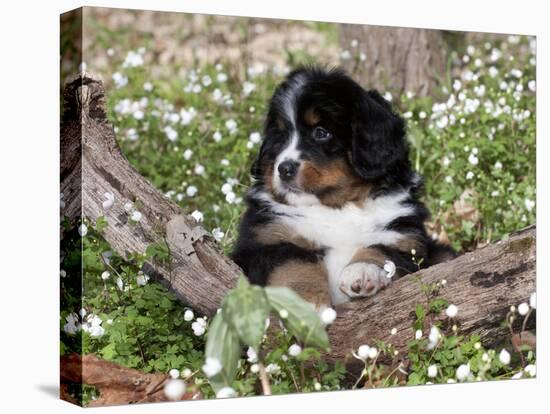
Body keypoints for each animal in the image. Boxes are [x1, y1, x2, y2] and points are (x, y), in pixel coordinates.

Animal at [231, 67, 454, 308]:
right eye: (280, 137)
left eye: (321, 133)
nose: (284, 169)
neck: (337, 206)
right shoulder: (266, 240)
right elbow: (295, 265)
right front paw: (307, 304)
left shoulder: (404, 238)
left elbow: (380, 251)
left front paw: (362, 272)